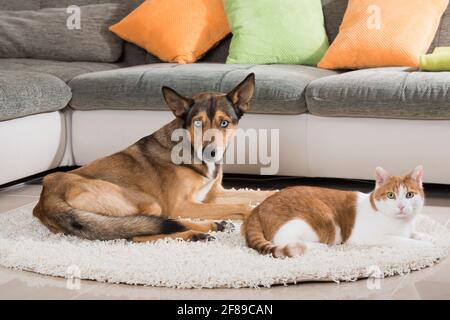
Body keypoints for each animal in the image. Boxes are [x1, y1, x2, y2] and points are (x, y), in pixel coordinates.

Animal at [33, 73, 274, 242]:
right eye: (198, 122)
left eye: (224, 123)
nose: (210, 152)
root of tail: (47, 196)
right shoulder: (183, 204)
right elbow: (244, 206)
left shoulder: (213, 195)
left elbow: (259, 194)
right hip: (148, 203)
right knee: (141, 231)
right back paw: (201, 232)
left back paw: (211, 228)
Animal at [244, 166, 434, 258]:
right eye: (391, 195)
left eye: (409, 195)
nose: (401, 206)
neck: (402, 222)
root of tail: (259, 207)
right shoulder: (375, 237)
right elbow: (404, 241)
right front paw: (428, 246)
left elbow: (416, 235)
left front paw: (431, 238)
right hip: (322, 221)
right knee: (285, 240)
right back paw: (322, 246)